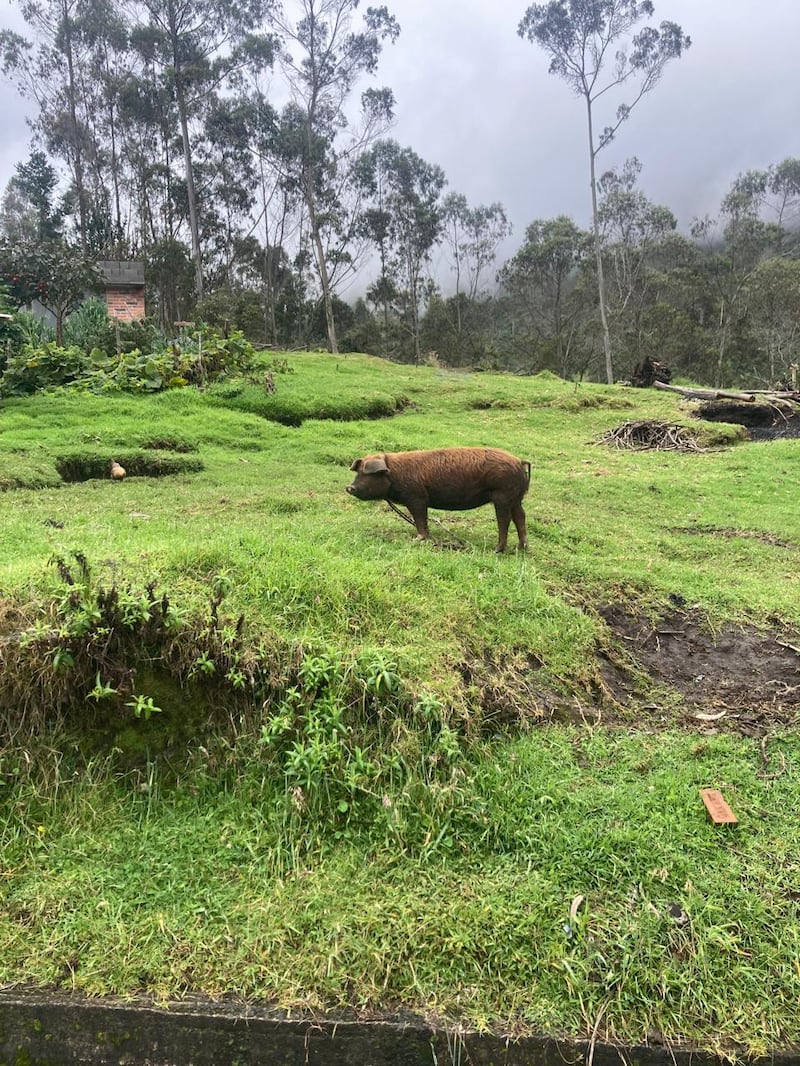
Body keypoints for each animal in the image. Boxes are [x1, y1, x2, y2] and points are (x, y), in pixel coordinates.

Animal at [345, 445, 529, 554]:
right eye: (358, 472)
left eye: (367, 474)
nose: (349, 487)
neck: (394, 473)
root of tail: (519, 462)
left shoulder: (417, 497)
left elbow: (420, 519)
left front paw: (418, 539)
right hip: (516, 498)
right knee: (520, 517)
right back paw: (521, 548)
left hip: (503, 495)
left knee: (504, 520)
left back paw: (497, 550)